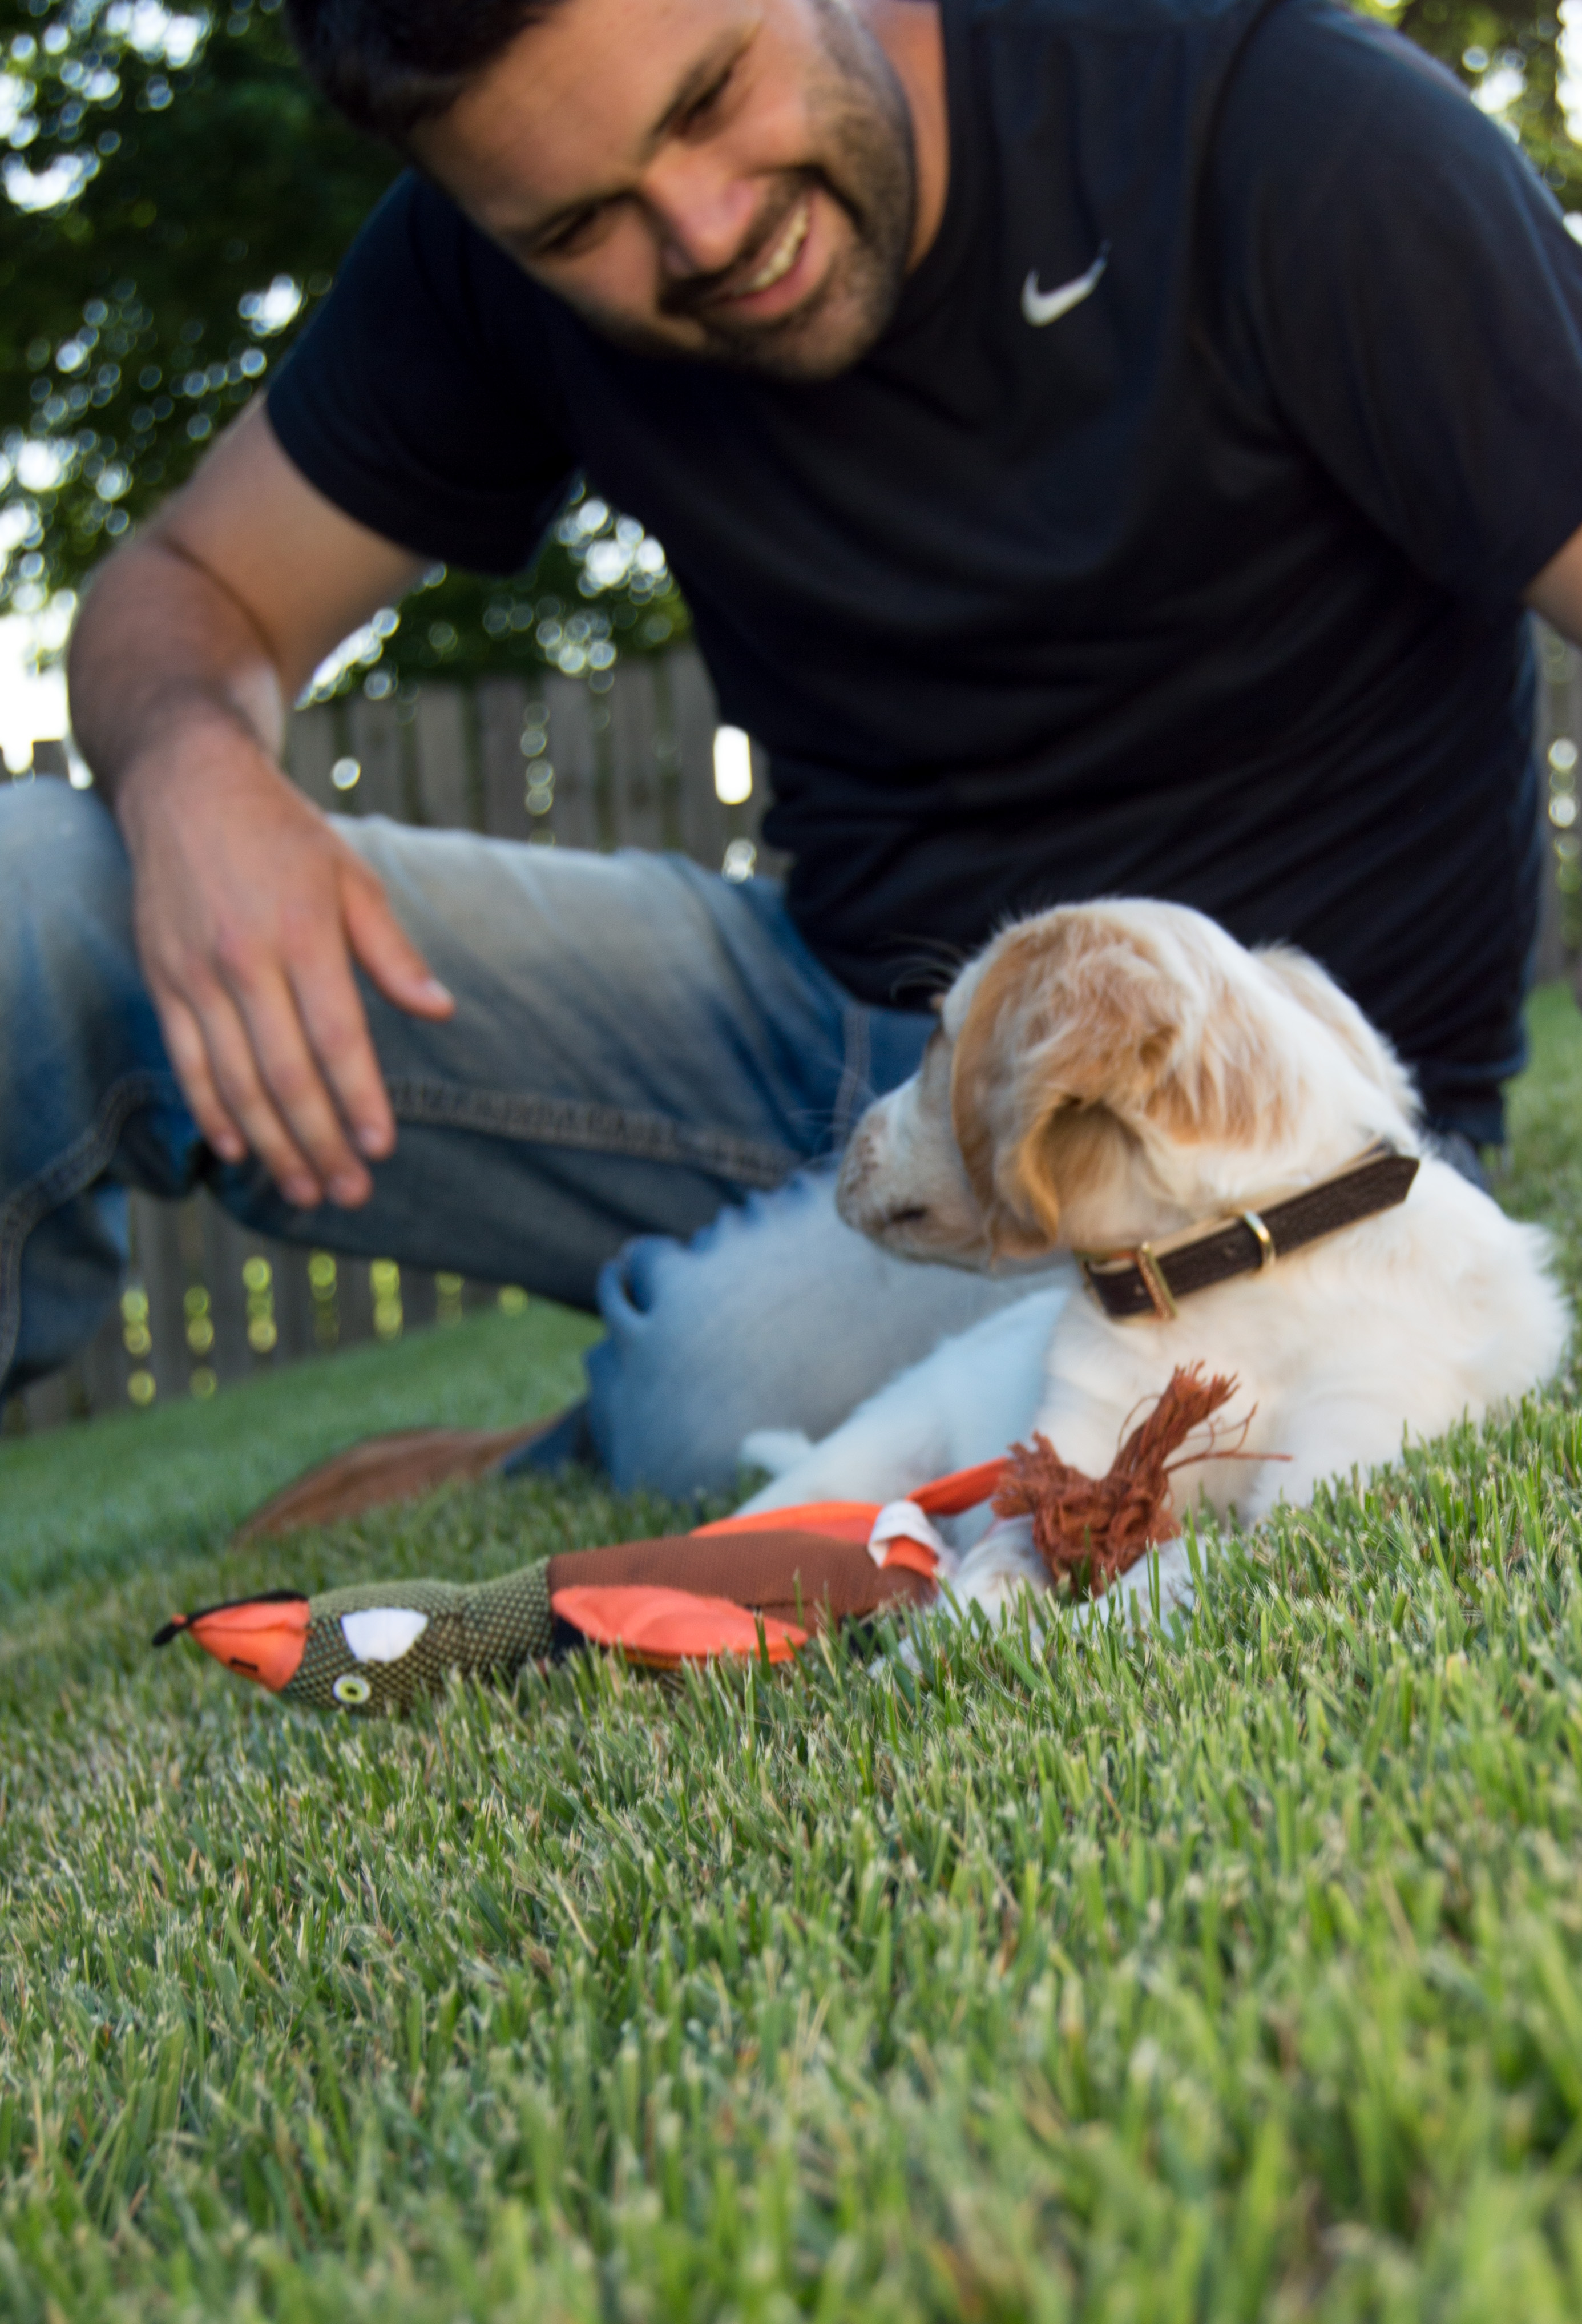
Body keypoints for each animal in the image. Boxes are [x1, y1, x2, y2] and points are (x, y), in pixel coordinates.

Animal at [738, 897, 1570, 1626]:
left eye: (937, 1037)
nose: (840, 1146)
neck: (1236, 1268)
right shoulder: (1066, 1453)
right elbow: (994, 1571)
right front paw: (939, 1655)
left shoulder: (1336, 1471)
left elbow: (1174, 1569)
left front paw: (1063, 1642)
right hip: (845, 1467)